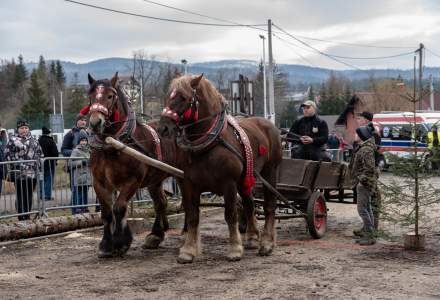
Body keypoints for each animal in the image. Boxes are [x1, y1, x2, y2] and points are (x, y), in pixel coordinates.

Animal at [87, 73, 180, 258]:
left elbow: (119, 208)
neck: (112, 144)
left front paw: (120, 243)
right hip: (155, 180)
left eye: (110, 96)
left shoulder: (132, 181)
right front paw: (106, 245)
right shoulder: (99, 183)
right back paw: (156, 235)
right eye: (90, 96)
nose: (95, 122)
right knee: (161, 203)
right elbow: (107, 213)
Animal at [158, 74, 282, 264]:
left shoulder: (228, 183)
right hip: (245, 179)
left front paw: (235, 249)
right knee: (249, 204)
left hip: (270, 172)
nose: (163, 128)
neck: (209, 143)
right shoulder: (188, 184)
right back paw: (253, 237)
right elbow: (192, 216)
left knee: (269, 205)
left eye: (184, 98)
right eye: (167, 96)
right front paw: (188, 250)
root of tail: (268, 124)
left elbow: (230, 214)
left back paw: (267, 243)